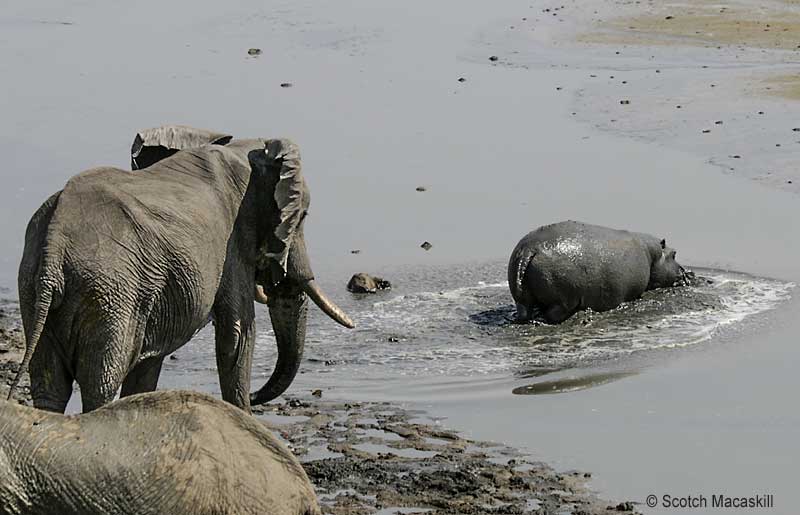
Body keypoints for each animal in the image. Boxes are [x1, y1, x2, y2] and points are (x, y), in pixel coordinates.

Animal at [9, 130, 354, 416]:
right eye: (303, 217)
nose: (256, 397)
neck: (246, 148)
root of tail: (55, 240)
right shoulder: (233, 243)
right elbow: (238, 333)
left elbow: (148, 363)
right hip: (110, 293)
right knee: (101, 383)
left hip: (35, 286)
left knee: (50, 386)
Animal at [510, 221, 684, 324]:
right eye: (674, 254)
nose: (684, 271)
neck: (653, 254)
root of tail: (530, 248)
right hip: (565, 298)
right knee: (554, 314)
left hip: (522, 297)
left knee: (525, 310)